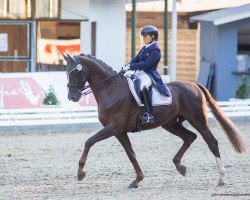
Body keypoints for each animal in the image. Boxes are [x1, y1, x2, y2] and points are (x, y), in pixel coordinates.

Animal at [62, 53, 246, 188]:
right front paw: (138, 179)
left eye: (75, 72)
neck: (110, 89)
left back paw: (222, 178)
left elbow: (89, 141)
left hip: (197, 119)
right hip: (170, 123)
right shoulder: (119, 131)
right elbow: (131, 154)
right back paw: (180, 166)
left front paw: (80, 172)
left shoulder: (113, 127)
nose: (72, 97)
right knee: (189, 137)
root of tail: (194, 85)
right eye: (66, 73)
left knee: (211, 142)